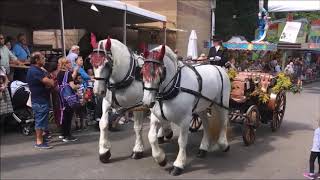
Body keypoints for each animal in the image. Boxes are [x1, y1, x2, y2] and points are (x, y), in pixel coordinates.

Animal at [141, 45, 231, 176]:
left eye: (161, 73)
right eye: (141, 71)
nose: (147, 102)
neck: (174, 86)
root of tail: (218, 67)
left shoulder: (184, 120)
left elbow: (182, 141)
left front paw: (178, 165)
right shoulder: (156, 117)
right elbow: (151, 137)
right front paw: (161, 159)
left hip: (222, 103)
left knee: (224, 121)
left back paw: (224, 144)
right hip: (201, 107)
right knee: (206, 124)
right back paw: (203, 148)